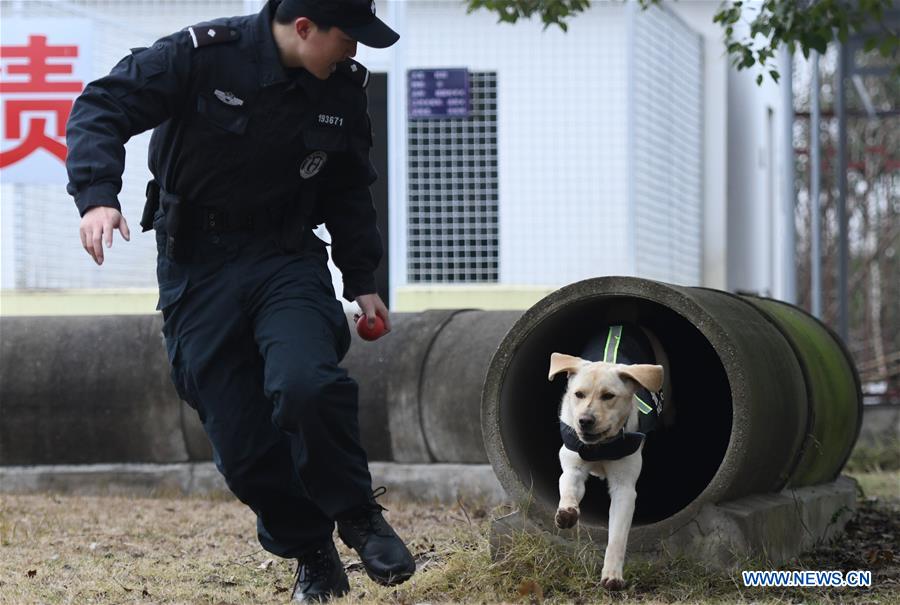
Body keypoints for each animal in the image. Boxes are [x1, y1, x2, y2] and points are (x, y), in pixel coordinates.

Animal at [544, 342, 664, 588]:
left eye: (609, 396)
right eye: (578, 394)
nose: (585, 420)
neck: (600, 446)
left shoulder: (624, 489)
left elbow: (617, 536)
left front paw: (612, 575)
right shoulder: (572, 468)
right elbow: (569, 488)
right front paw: (567, 513)